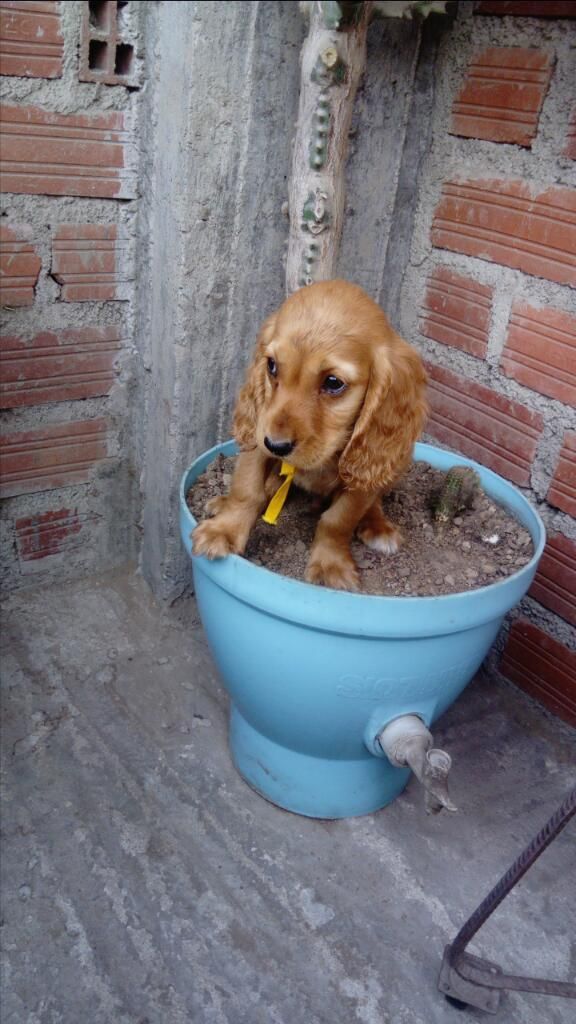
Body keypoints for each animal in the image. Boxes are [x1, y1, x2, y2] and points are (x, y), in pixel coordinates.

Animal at [192, 280, 426, 593]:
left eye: (333, 382)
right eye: (272, 366)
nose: (276, 445)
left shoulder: (361, 468)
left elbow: (337, 520)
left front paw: (330, 565)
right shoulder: (259, 434)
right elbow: (247, 489)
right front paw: (223, 531)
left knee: (375, 499)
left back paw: (378, 527)